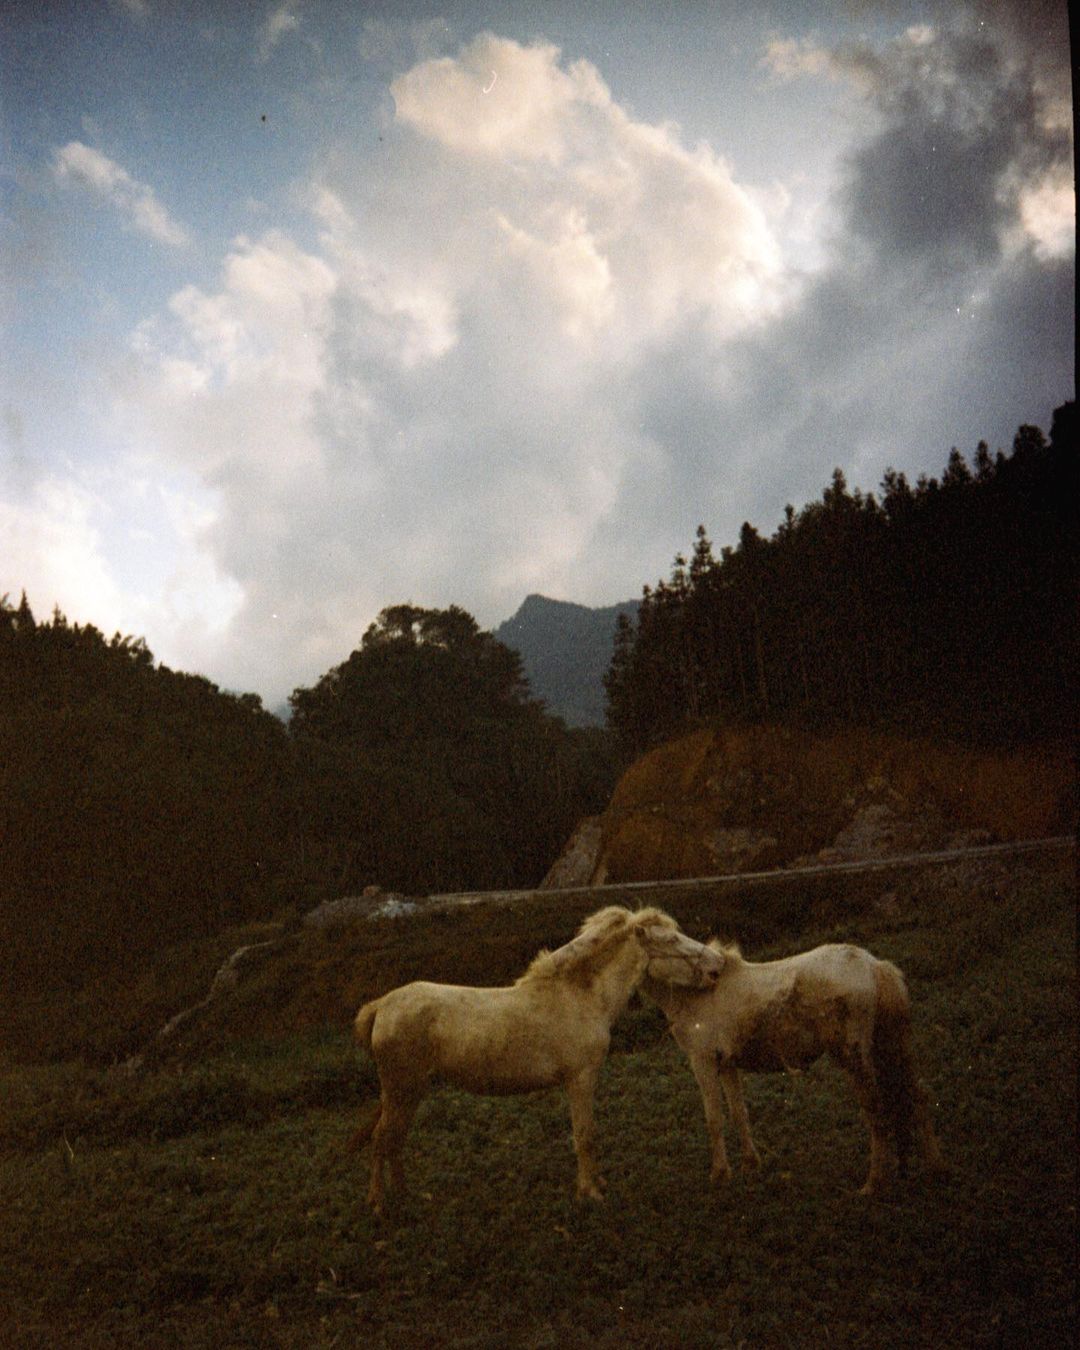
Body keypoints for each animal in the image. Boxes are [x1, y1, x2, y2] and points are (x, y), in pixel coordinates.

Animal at [350, 905, 723, 1215]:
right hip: (402, 1089)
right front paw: (590, 1192)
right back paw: (379, 1203)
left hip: (409, 1091)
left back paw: (405, 1195)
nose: (717, 966)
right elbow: (585, 1135)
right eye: (671, 938)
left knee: (394, 1140)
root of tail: (381, 1006)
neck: (581, 998)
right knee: (383, 1139)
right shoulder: (580, 1078)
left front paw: (597, 1182)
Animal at [642, 939, 946, 1196]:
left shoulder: (702, 1061)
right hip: (890, 1049)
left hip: (855, 1059)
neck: (694, 995)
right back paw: (934, 1169)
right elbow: (739, 1113)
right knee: (919, 1097)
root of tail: (874, 966)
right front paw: (750, 1166)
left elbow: (714, 1119)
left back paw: (873, 1184)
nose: (712, 967)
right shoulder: (726, 1064)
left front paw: (720, 1175)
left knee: (877, 1115)